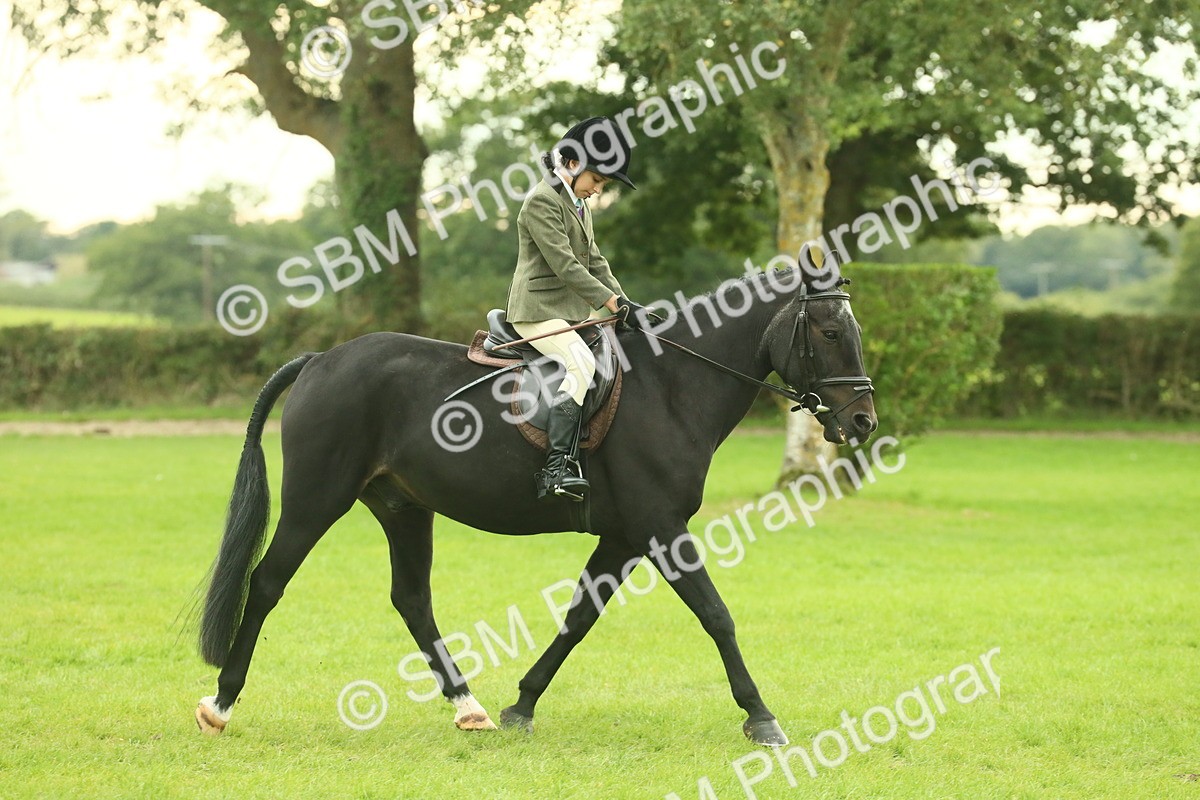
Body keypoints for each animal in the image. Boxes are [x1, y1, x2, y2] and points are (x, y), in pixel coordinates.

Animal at [193, 265, 878, 746]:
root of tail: (322, 360)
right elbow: (717, 615)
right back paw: (220, 705)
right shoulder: (660, 528)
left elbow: (578, 618)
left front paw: (521, 705)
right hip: (317, 500)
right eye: (831, 332)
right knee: (267, 582)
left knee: (411, 599)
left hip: (403, 508)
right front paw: (762, 717)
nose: (863, 421)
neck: (673, 388)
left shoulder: (625, 537)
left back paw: (469, 708)